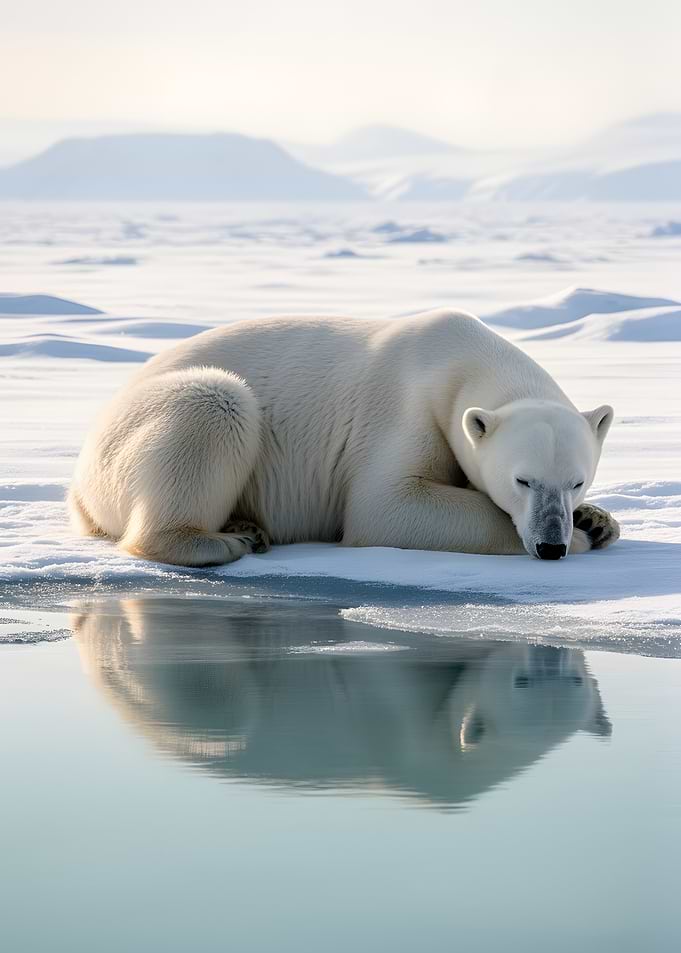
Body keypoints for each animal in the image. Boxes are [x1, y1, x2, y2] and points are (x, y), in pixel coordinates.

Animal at [69, 309, 620, 566]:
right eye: (522, 481)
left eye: (576, 482)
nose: (550, 546)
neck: (462, 361)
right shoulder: (404, 410)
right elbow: (386, 506)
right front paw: (584, 537)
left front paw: (598, 521)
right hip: (133, 437)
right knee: (215, 400)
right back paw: (226, 539)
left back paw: (246, 526)